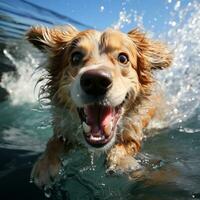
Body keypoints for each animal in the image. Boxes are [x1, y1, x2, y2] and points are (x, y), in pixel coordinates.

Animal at [26, 25, 172, 188]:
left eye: (123, 58)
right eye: (75, 57)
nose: (95, 81)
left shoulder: (135, 129)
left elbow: (128, 145)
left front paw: (122, 162)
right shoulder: (63, 128)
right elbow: (53, 142)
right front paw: (45, 165)